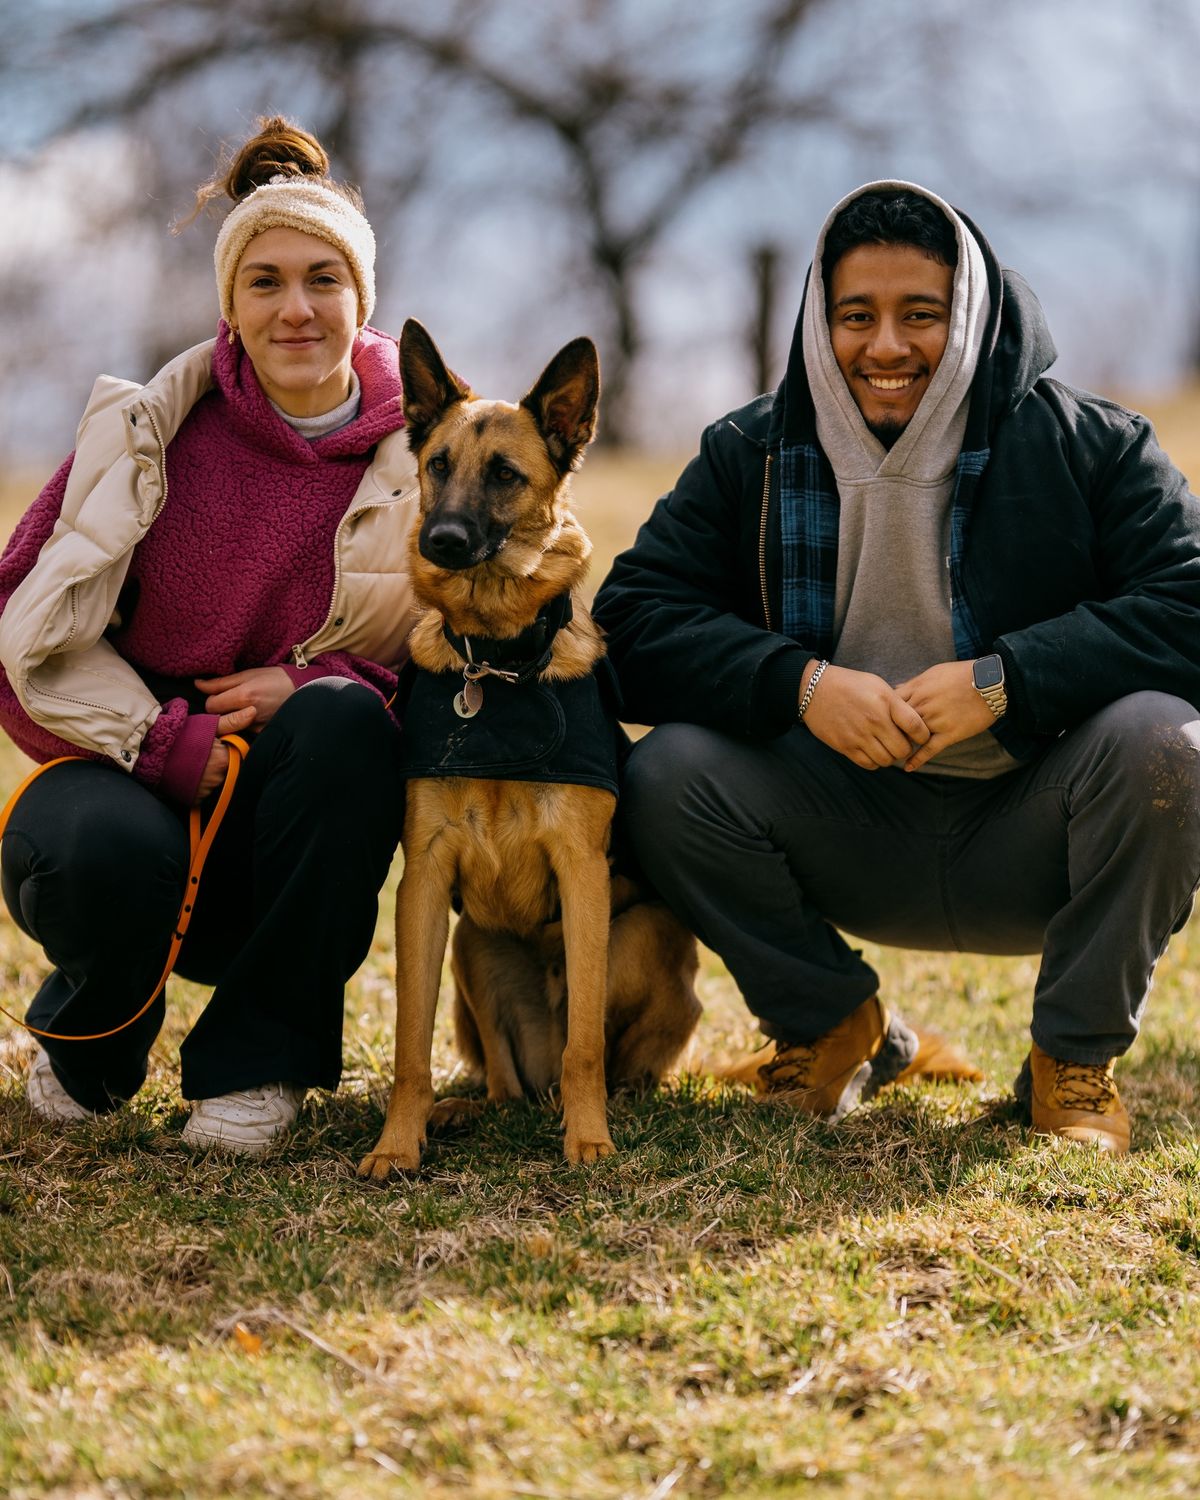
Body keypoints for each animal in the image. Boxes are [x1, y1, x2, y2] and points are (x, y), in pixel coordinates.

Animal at [357, 322, 702, 1176]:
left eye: (505, 475)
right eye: (437, 465)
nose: (441, 541)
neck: (497, 662)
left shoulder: (581, 872)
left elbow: (585, 1049)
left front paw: (590, 1139)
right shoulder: (425, 881)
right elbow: (409, 1047)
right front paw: (397, 1143)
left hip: (643, 937)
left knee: (600, 1059)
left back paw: (606, 1107)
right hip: (473, 949)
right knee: (505, 1086)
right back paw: (465, 1111)